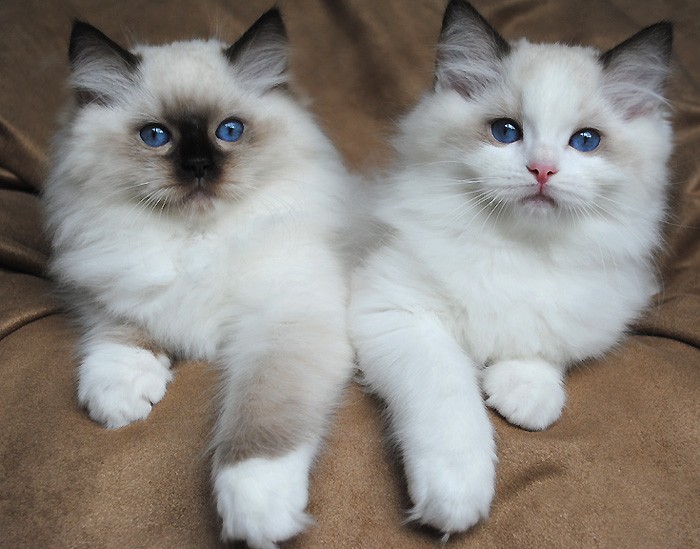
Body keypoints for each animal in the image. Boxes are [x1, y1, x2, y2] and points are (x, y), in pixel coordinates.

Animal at [43, 9, 356, 548]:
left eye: (229, 131)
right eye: (155, 136)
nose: (198, 167)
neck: (198, 240)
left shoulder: (285, 321)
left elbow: (261, 421)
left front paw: (256, 505)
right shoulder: (110, 285)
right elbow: (119, 334)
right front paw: (120, 398)